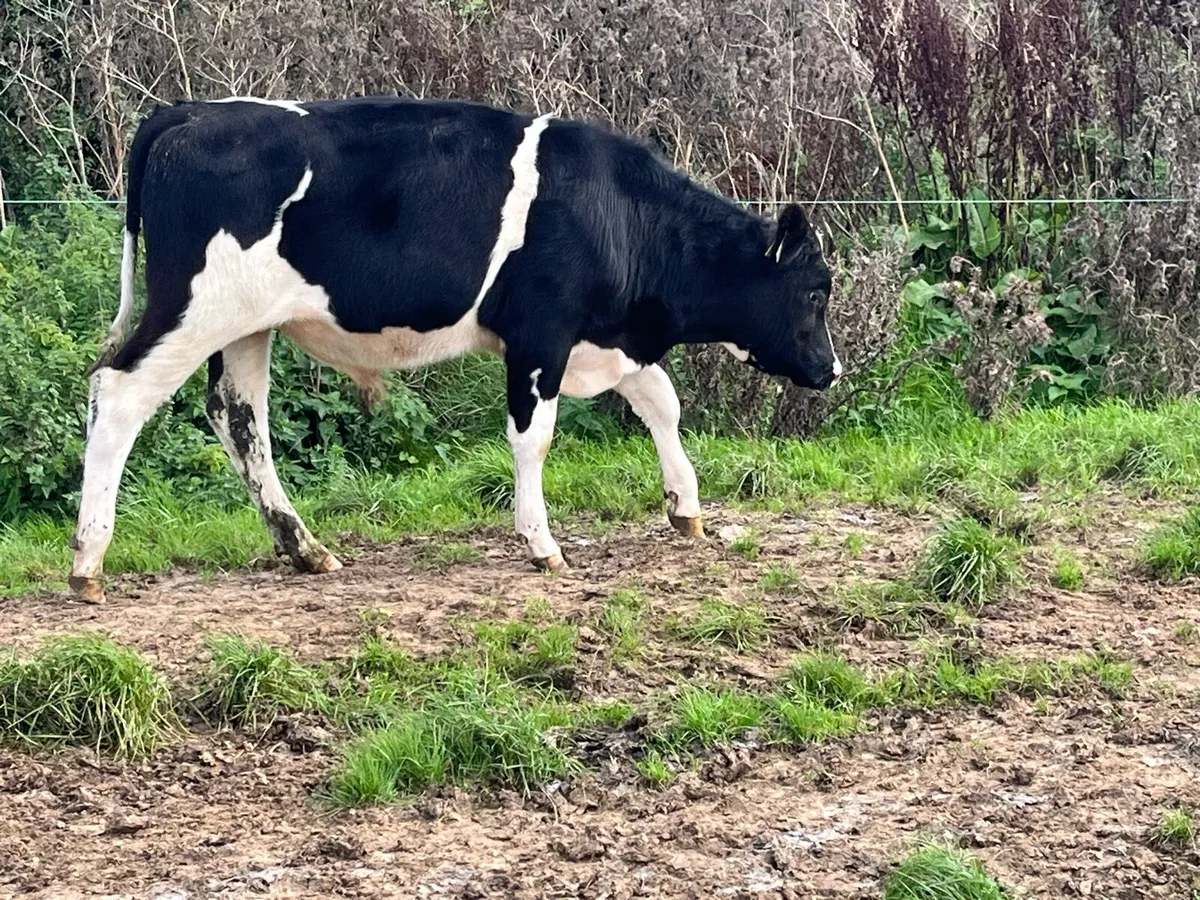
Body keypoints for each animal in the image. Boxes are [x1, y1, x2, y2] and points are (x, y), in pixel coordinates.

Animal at [68, 95, 841, 603]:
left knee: (239, 418)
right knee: (120, 392)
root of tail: (189, 111)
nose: (831, 370)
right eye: (814, 291)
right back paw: (88, 562)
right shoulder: (541, 332)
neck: (617, 211)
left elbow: (663, 403)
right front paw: (542, 544)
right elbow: (535, 437)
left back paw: (305, 549)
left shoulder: (608, 337)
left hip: (244, 327)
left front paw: (686, 508)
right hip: (193, 309)